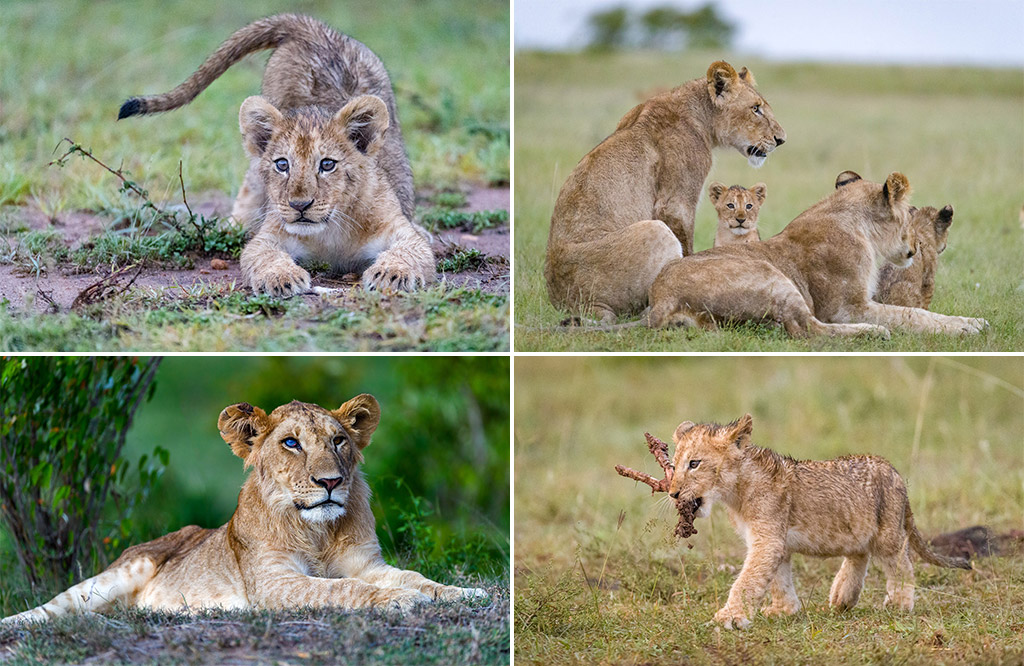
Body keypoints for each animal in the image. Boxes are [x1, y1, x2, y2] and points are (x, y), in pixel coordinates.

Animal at [2, 393, 485, 622]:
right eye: (291, 443)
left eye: (338, 440)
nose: (330, 482)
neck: (318, 531)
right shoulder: (274, 583)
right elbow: (343, 590)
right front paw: (400, 601)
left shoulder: (366, 563)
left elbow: (415, 577)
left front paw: (465, 593)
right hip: (114, 576)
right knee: (54, 609)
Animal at [117, 14, 434, 295]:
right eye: (283, 164)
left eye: (327, 164)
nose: (299, 205)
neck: (331, 230)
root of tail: (310, 26)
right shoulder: (268, 236)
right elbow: (263, 255)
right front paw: (282, 278)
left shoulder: (401, 233)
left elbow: (412, 249)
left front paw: (391, 273)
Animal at [548, 60, 786, 323]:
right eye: (755, 109)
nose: (781, 140)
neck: (702, 117)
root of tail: (562, 300)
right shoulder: (676, 202)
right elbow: (687, 244)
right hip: (655, 230)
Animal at [647, 171, 991, 338]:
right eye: (909, 215)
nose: (917, 248)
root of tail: (661, 297)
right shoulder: (845, 308)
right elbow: (910, 315)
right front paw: (965, 328)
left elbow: (920, 312)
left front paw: (972, 321)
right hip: (773, 277)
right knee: (807, 329)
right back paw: (873, 333)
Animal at [667, 413, 970, 627]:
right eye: (674, 464)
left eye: (694, 464)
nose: (673, 493)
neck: (735, 490)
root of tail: (894, 470)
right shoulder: (774, 542)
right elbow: (778, 580)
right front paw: (784, 610)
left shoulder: (768, 539)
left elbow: (748, 580)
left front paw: (730, 618)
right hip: (857, 526)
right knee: (860, 554)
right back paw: (842, 598)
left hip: (888, 532)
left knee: (901, 564)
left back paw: (899, 604)